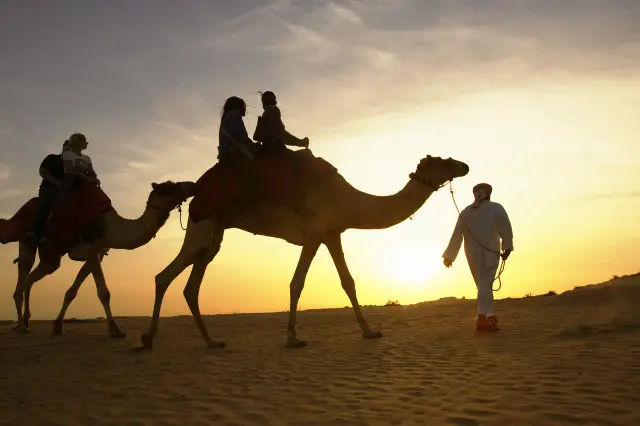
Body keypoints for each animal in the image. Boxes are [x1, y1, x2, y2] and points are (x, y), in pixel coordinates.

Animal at [10, 180, 195, 337]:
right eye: (170, 186)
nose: (191, 184)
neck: (110, 228)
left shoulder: (97, 253)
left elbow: (72, 292)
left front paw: (57, 325)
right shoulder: (92, 250)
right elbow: (104, 292)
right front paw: (115, 330)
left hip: (50, 256)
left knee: (31, 278)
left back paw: (26, 320)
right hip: (27, 240)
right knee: (23, 275)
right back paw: (20, 326)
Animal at [138, 153, 469, 349]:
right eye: (442, 161)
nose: (464, 165)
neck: (350, 200)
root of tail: (196, 192)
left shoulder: (333, 234)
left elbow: (348, 282)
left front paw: (369, 331)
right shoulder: (314, 234)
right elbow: (297, 282)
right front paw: (293, 337)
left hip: (214, 233)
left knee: (192, 283)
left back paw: (210, 340)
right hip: (202, 223)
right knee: (163, 275)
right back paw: (148, 336)